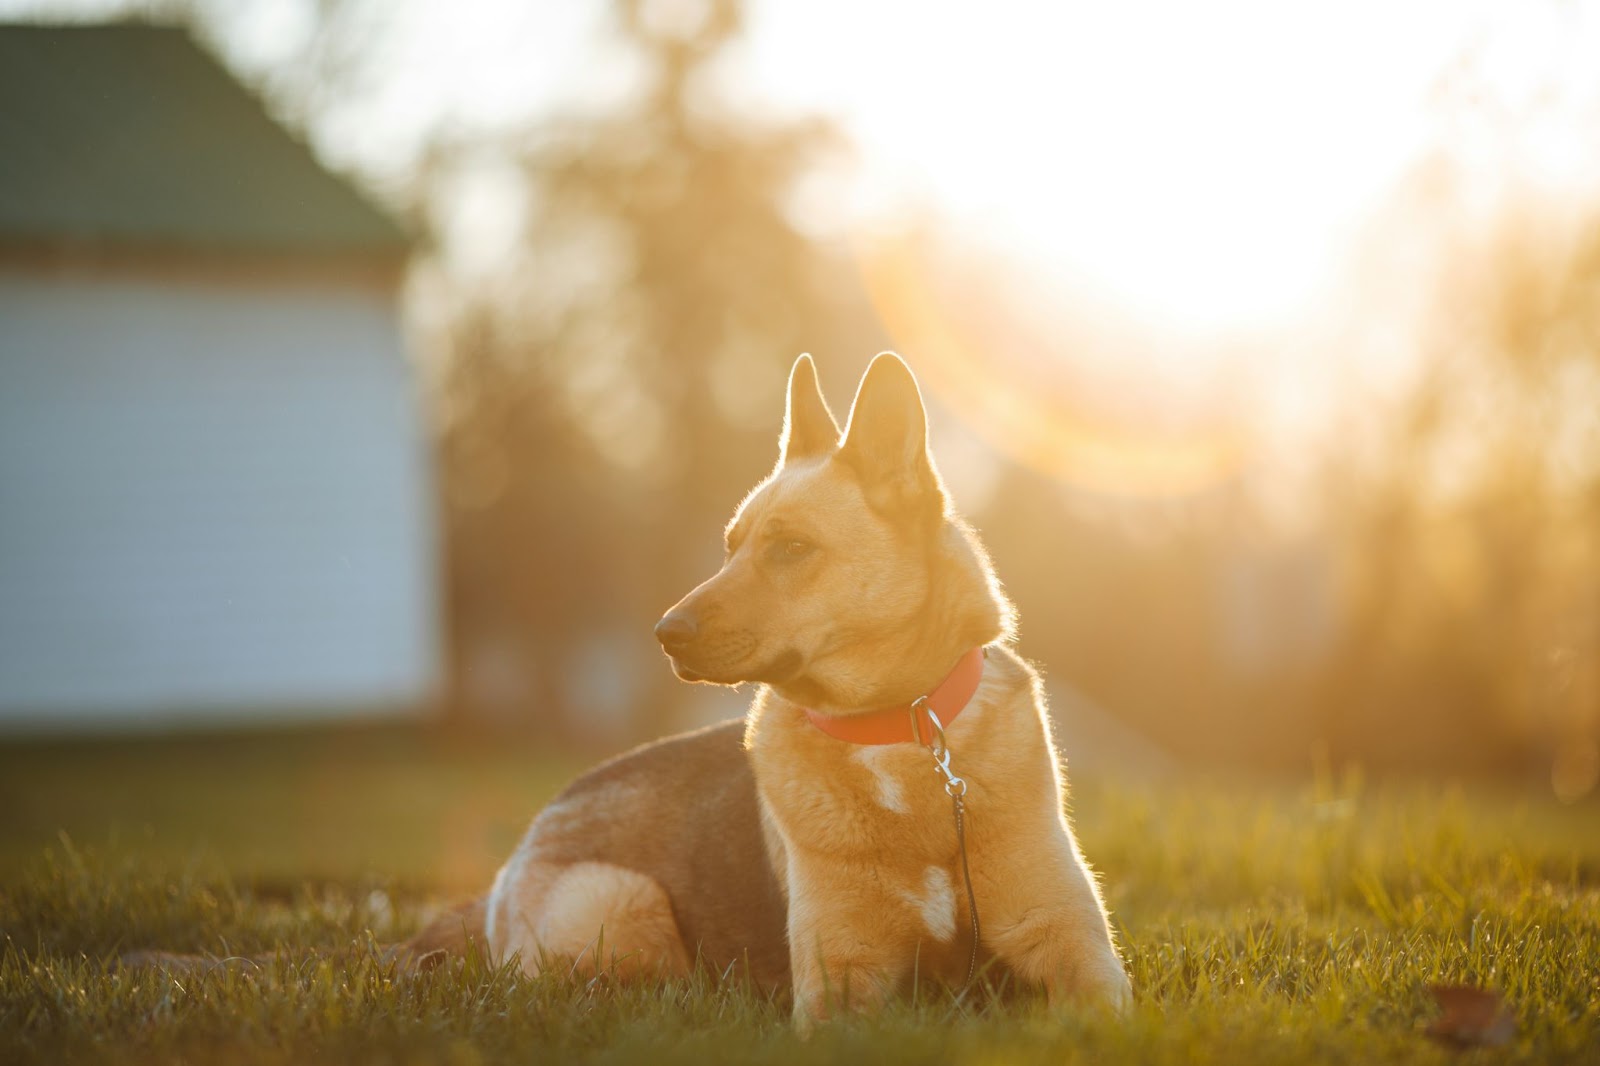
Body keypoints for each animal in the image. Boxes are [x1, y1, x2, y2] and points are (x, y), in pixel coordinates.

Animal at [480, 352, 1132, 1017]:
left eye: (792, 548)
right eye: (730, 548)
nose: (664, 634)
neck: (895, 726)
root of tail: (531, 836)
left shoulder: (1072, 945)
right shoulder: (839, 976)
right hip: (623, 904)